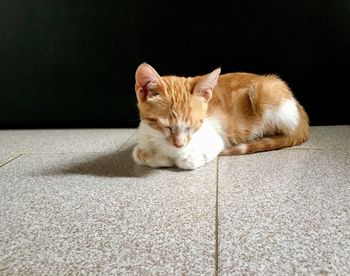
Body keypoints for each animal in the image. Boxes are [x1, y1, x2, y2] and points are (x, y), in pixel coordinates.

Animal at [131, 63, 308, 169]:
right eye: (166, 126)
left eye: (193, 125)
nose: (180, 144)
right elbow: (137, 153)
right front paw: (160, 158)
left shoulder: (215, 140)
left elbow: (187, 160)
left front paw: (174, 159)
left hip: (266, 93)